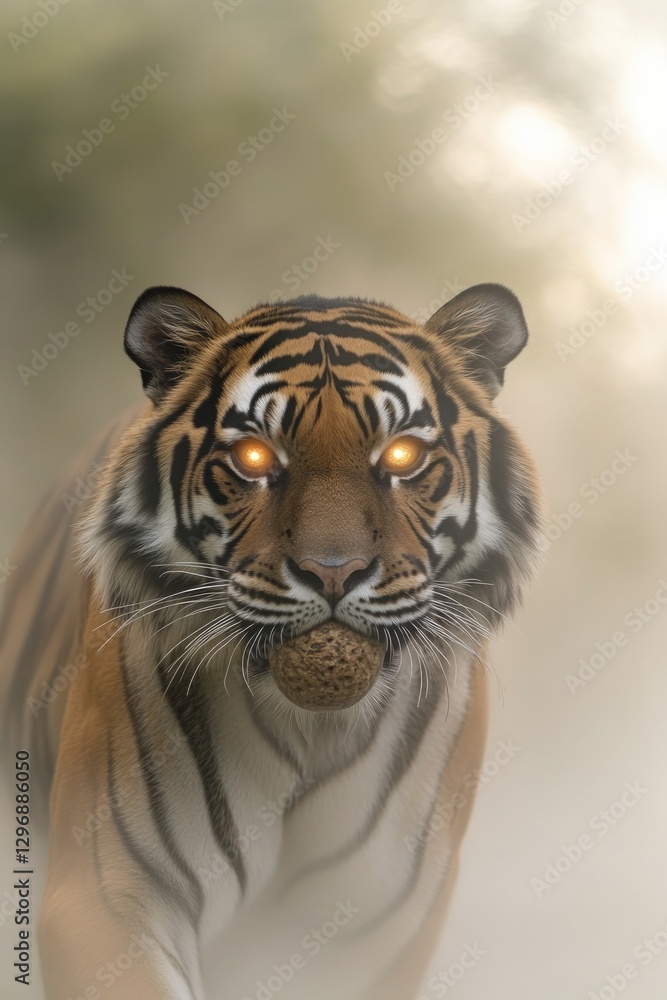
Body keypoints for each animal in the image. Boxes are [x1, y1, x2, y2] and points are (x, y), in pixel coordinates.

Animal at [0, 282, 543, 1000]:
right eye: (255, 458)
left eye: (402, 456)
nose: (333, 571)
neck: (310, 728)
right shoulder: (108, 894)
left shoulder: (371, 927)